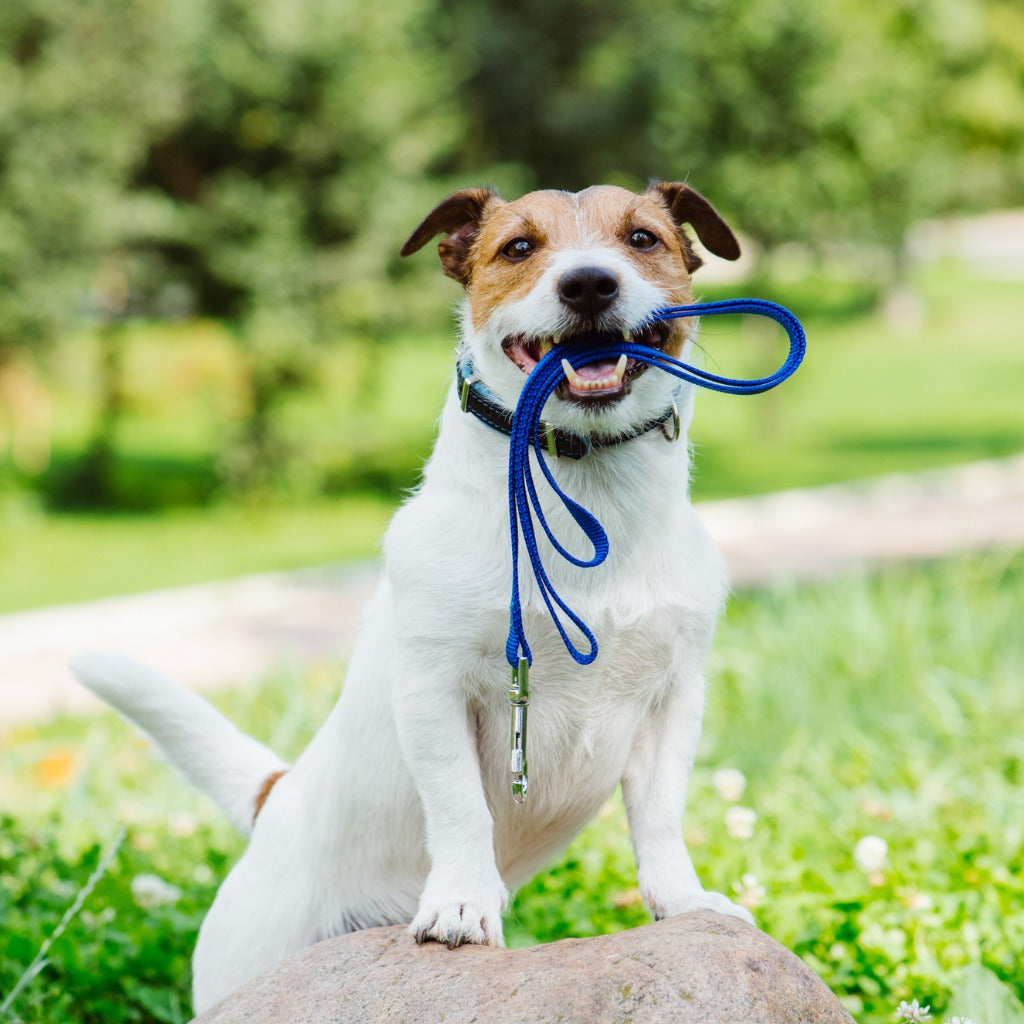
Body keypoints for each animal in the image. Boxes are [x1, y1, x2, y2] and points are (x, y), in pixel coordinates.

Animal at [72, 180, 753, 1011]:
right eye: (519, 247)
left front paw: (680, 900)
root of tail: (279, 799)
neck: (584, 492)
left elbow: (659, 814)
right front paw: (461, 902)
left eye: (643, 238)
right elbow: (459, 805)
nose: (589, 283)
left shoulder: (672, 698)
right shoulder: (434, 689)